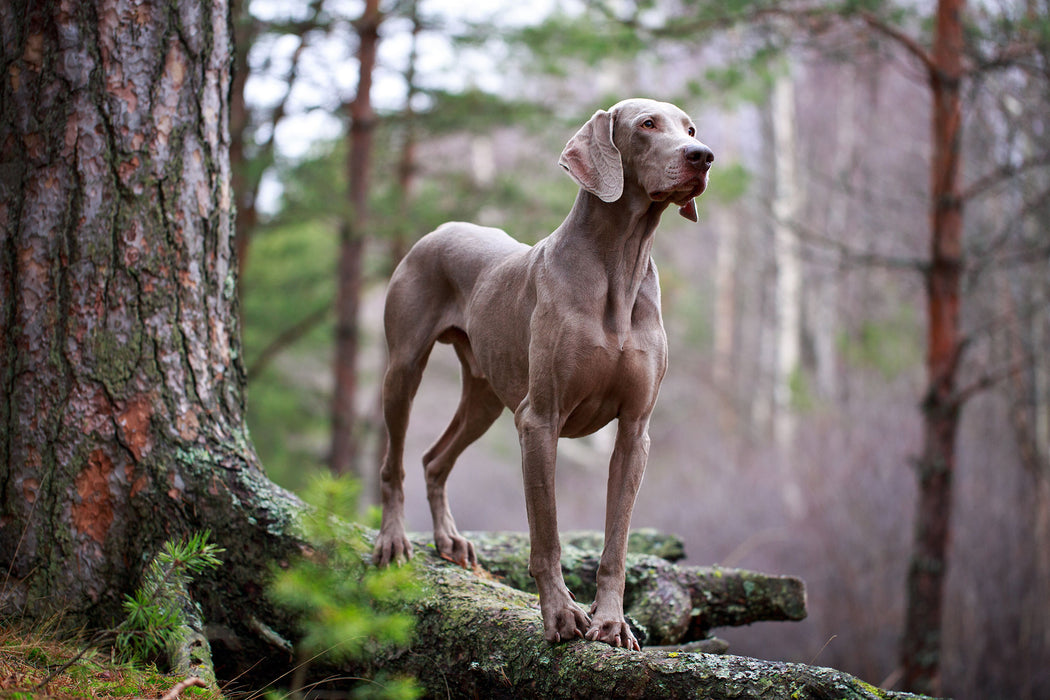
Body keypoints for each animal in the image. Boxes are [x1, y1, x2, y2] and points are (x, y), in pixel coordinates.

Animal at [371, 98, 713, 650]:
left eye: (690, 127)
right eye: (647, 124)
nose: (702, 155)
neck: (619, 265)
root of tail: (441, 228)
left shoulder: (634, 432)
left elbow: (616, 543)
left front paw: (611, 622)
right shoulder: (539, 420)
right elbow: (546, 535)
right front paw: (560, 615)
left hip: (485, 396)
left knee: (433, 458)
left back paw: (449, 539)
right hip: (403, 369)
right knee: (395, 461)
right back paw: (393, 539)